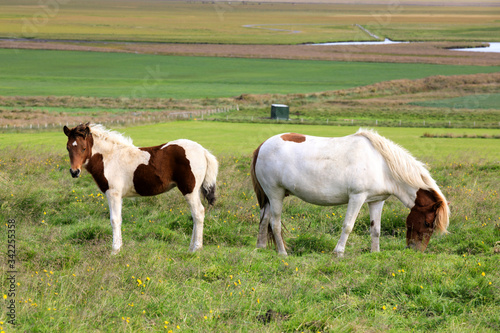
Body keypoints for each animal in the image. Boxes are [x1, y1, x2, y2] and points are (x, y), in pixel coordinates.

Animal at [63, 123, 218, 253]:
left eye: (84, 148)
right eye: (68, 148)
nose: (74, 172)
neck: (109, 158)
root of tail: (203, 151)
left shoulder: (113, 194)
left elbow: (115, 220)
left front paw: (115, 250)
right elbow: (118, 219)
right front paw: (119, 248)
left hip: (189, 189)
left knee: (198, 213)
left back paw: (196, 248)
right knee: (195, 215)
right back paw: (191, 247)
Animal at [252, 128, 452, 255]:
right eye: (427, 223)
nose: (416, 251)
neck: (382, 165)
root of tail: (262, 146)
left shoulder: (376, 201)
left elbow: (376, 229)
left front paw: (375, 253)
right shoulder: (357, 197)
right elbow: (348, 226)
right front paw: (338, 252)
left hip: (269, 198)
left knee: (264, 220)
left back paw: (261, 248)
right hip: (275, 194)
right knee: (275, 223)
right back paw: (282, 253)